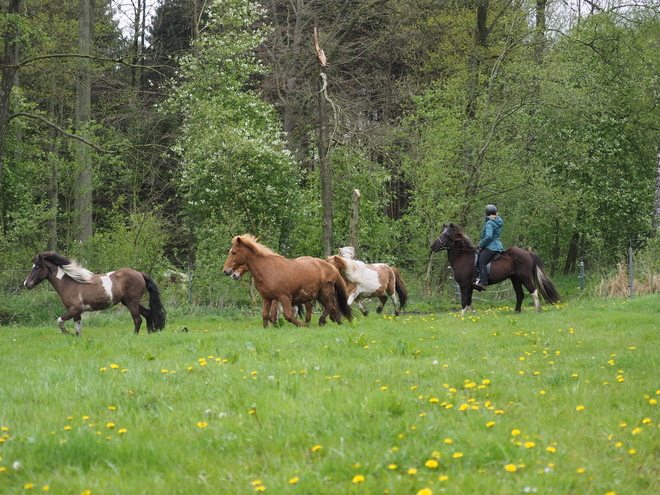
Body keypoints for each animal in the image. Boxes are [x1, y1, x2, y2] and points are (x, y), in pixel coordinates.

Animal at [23, 252, 168, 338]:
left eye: (37, 268)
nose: (26, 284)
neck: (69, 283)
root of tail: (140, 274)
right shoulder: (76, 312)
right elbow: (78, 327)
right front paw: (76, 337)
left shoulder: (75, 309)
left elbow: (59, 321)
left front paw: (67, 333)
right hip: (129, 302)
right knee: (148, 314)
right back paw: (150, 332)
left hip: (132, 302)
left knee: (137, 319)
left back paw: (134, 335)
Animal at [222, 234, 354, 328]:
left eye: (234, 252)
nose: (226, 271)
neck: (268, 270)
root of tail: (331, 266)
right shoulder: (267, 298)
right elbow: (265, 315)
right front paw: (269, 327)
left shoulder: (283, 297)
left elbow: (288, 316)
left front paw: (302, 325)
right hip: (319, 295)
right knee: (331, 307)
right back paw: (336, 322)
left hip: (325, 292)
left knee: (330, 306)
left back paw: (320, 321)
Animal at [430, 224, 560, 316]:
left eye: (445, 236)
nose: (432, 246)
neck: (463, 256)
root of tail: (528, 253)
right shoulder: (469, 286)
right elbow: (469, 301)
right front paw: (472, 314)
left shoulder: (464, 284)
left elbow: (464, 300)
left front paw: (462, 316)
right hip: (515, 279)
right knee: (520, 294)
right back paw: (516, 311)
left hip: (524, 277)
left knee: (534, 291)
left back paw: (538, 309)